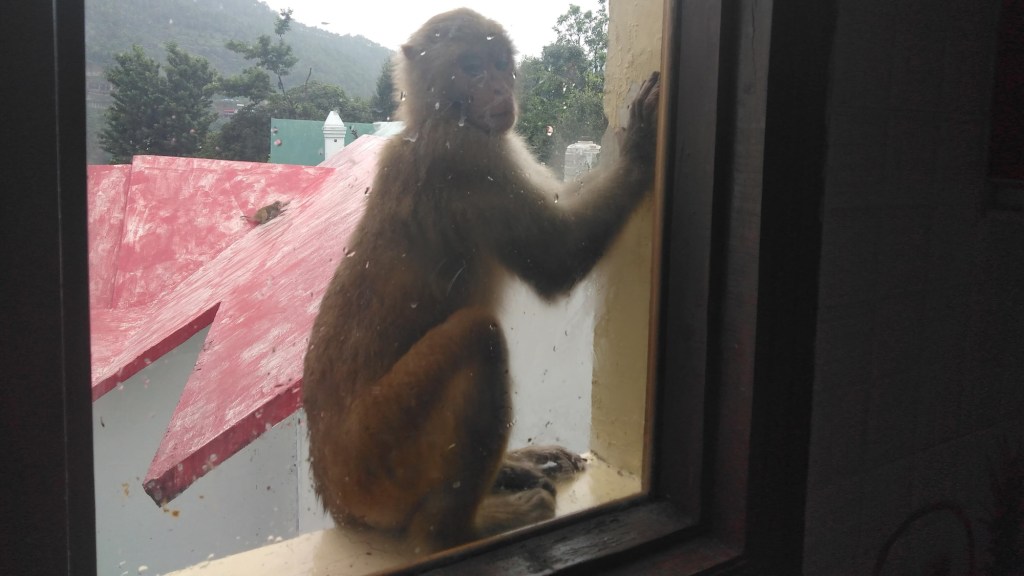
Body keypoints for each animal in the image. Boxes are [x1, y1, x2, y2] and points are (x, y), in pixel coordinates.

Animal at [302, 8, 660, 553]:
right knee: (479, 337)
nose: (498, 89)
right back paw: (455, 530)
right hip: (379, 454)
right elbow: (555, 261)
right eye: (470, 68)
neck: (436, 119)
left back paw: (509, 470)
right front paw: (639, 146)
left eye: (497, 64)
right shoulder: (470, 157)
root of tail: (336, 498)